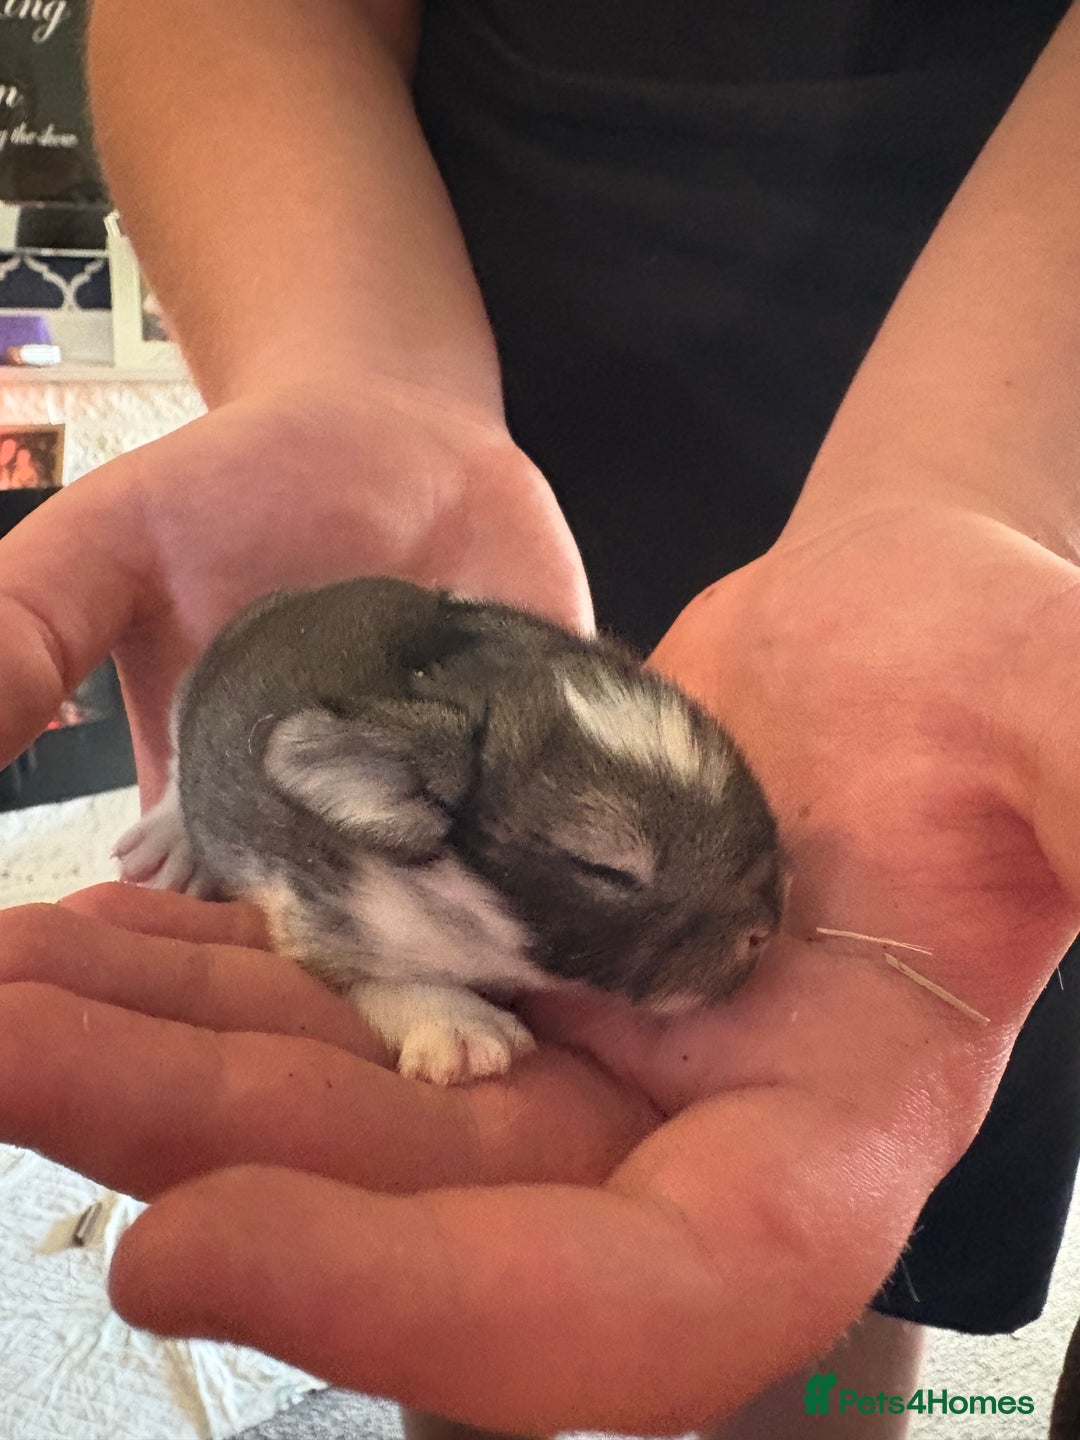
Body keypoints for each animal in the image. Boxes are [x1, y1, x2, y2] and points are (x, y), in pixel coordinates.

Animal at [115, 576, 788, 1084]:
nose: (766, 929)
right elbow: (380, 979)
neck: (464, 904)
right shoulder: (319, 917)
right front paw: (467, 1035)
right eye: (606, 869)